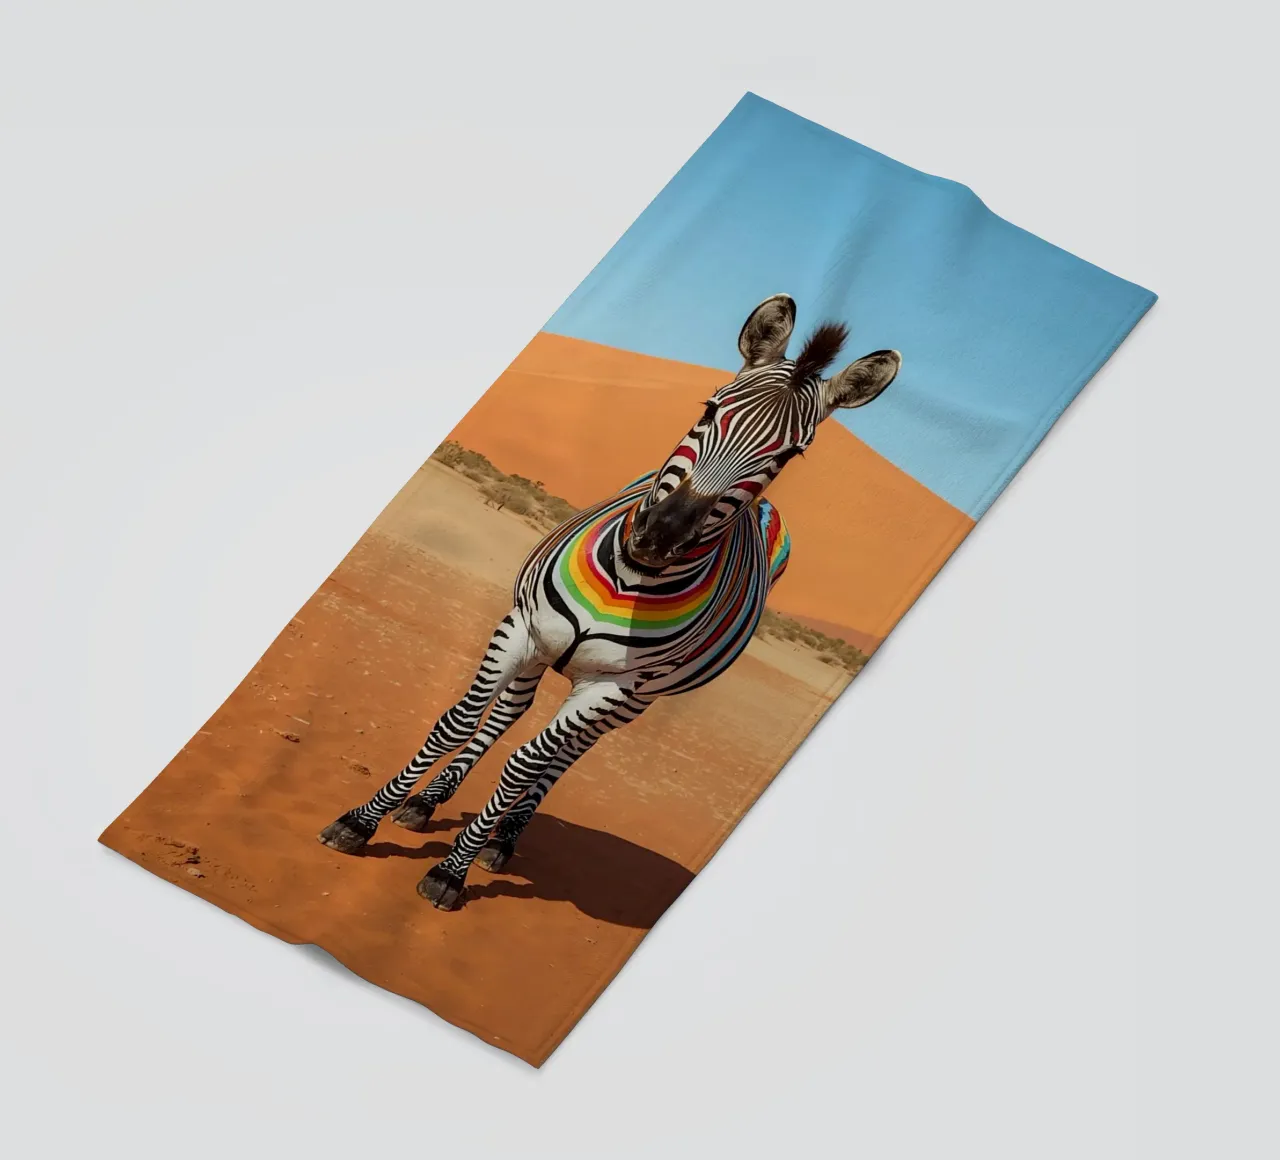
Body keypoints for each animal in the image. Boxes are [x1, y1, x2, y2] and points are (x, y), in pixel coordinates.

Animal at [318, 295, 900, 909]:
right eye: (710, 407)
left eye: (789, 456)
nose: (657, 538)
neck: (627, 580)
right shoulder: (523, 626)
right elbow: (459, 722)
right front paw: (361, 821)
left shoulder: (614, 685)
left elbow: (525, 764)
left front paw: (453, 870)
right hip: (545, 652)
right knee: (508, 714)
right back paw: (429, 803)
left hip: (632, 702)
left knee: (565, 755)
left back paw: (503, 839)